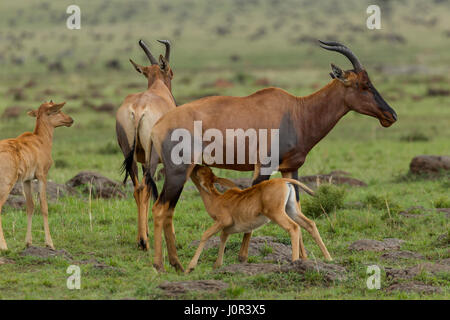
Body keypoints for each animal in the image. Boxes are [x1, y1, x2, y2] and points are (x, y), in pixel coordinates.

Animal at [0, 100, 73, 250]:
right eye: (56, 110)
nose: (70, 120)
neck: (40, 141)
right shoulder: (41, 176)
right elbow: (44, 206)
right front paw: (50, 243)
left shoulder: (26, 180)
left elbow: (30, 206)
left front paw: (28, 242)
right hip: (6, 185)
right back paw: (4, 246)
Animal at [116, 39, 176, 250]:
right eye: (171, 72)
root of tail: (138, 108)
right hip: (152, 156)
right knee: (145, 188)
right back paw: (143, 242)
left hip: (130, 154)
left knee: (138, 188)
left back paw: (141, 238)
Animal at [187, 165, 334, 272]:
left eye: (201, 171)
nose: (195, 166)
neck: (218, 199)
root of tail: (284, 181)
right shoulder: (227, 229)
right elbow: (223, 238)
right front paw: (217, 265)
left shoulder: (223, 222)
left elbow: (206, 235)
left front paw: (190, 267)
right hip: (292, 210)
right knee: (310, 224)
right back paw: (329, 259)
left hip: (277, 214)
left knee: (293, 227)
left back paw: (294, 262)